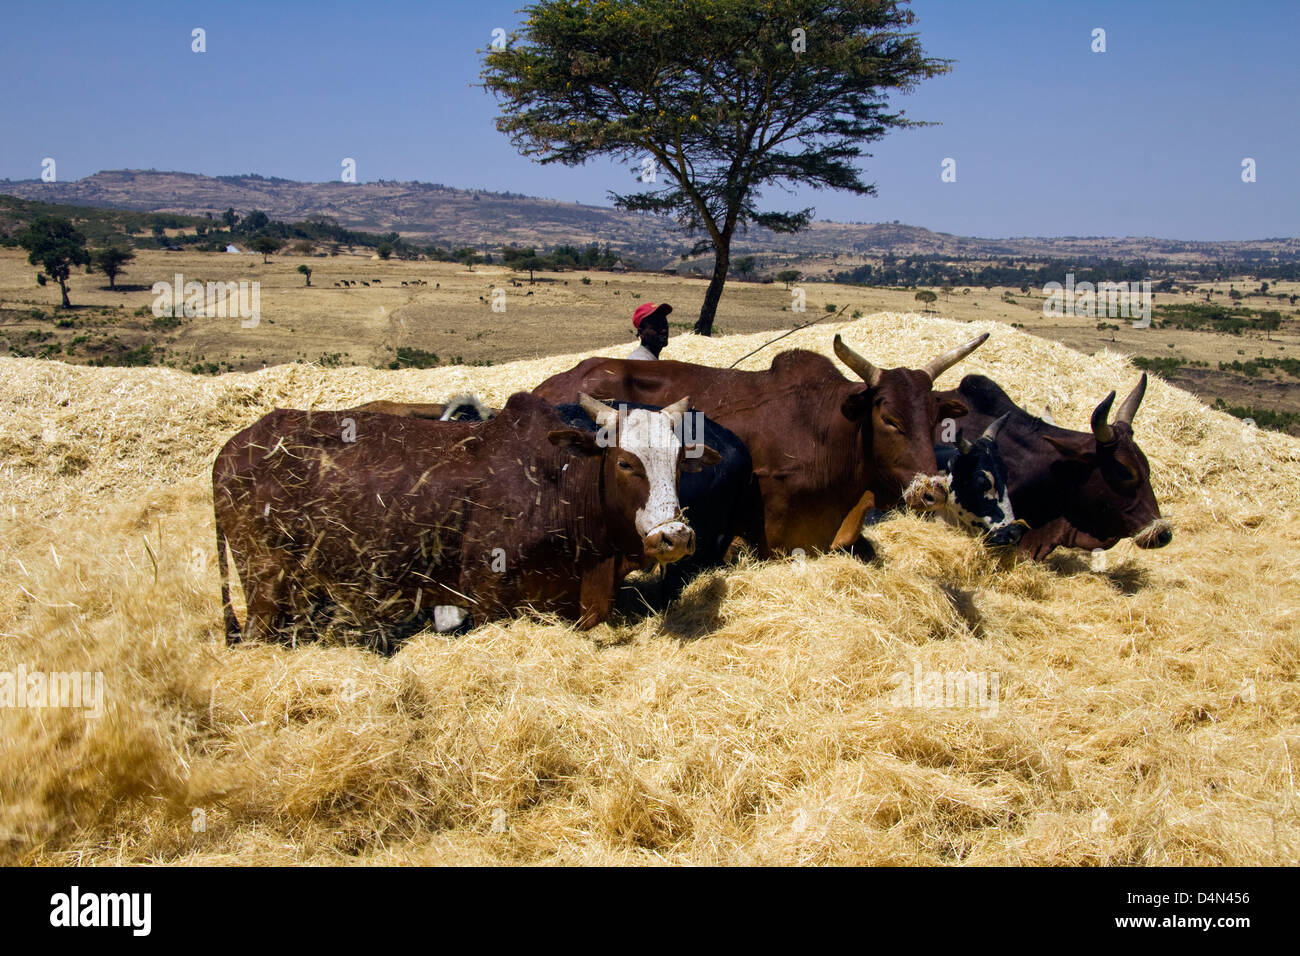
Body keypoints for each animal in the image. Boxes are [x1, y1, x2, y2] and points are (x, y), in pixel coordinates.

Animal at [214, 390, 722, 650]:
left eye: (680, 460)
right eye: (625, 463)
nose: (674, 537)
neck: (555, 483)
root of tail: (231, 449)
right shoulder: (486, 597)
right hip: (264, 586)